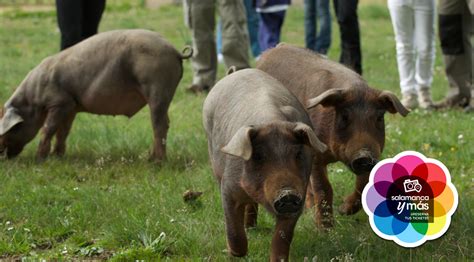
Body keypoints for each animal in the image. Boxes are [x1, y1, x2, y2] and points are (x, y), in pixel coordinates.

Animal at [0, 29, 193, 163]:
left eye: (11, 129)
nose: (2, 156)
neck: (33, 100)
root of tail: (175, 51)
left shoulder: (59, 102)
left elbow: (47, 129)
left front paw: (40, 159)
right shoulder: (71, 106)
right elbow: (63, 131)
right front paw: (57, 157)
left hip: (157, 86)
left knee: (160, 124)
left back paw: (157, 162)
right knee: (164, 123)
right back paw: (150, 158)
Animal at [202, 68, 328, 260]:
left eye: (298, 154)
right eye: (258, 156)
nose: (287, 194)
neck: (272, 120)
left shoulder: (300, 192)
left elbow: (282, 237)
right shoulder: (228, 187)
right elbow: (233, 229)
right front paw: (234, 254)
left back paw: (251, 226)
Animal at [258, 44, 410, 228]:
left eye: (379, 117)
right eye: (344, 116)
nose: (364, 155)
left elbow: (363, 183)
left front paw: (344, 210)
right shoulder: (315, 153)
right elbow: (324, 187)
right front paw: (326, 229)